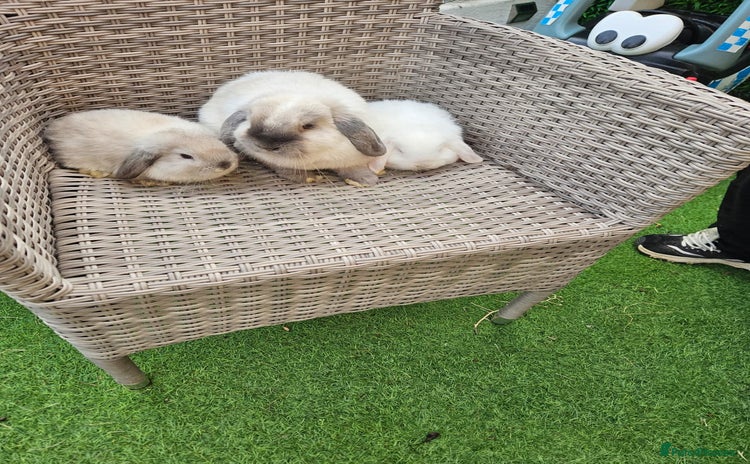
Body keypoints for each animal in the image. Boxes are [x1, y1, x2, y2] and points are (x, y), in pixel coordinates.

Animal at [199, 70, 386, 187]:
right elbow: (284, 168)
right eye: (250, 120)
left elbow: (352, 167)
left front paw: (366, 179)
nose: (266, 144)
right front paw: (308, 178)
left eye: (308, 125)